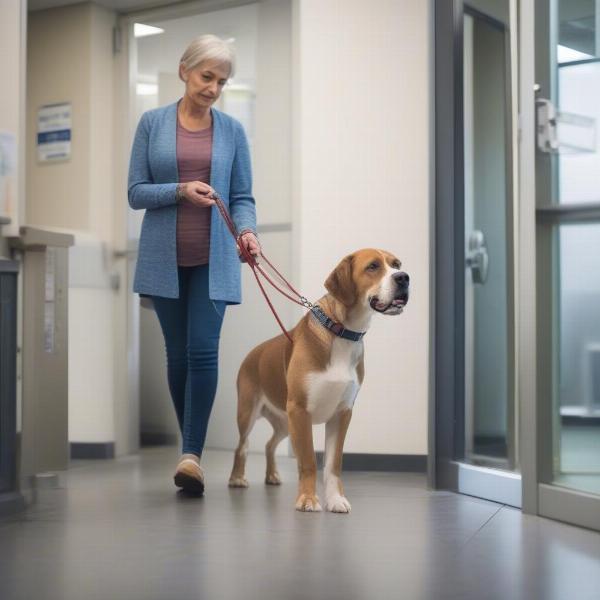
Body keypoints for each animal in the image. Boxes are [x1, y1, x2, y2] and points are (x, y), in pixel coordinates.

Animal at [227, 247, 410, 510]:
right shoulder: (300, 411)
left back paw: (272, 475)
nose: (404, 278)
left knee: (269, 445)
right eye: (373, 266)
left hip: (285, 423)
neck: (342, 332)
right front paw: (307, 499)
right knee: (242, 446)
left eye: (397, 264)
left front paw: (335, 500)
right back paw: (237, 478)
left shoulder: (341, 414)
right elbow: (309, 462)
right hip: (249, 414)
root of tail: (252, 353)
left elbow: (333, 464)